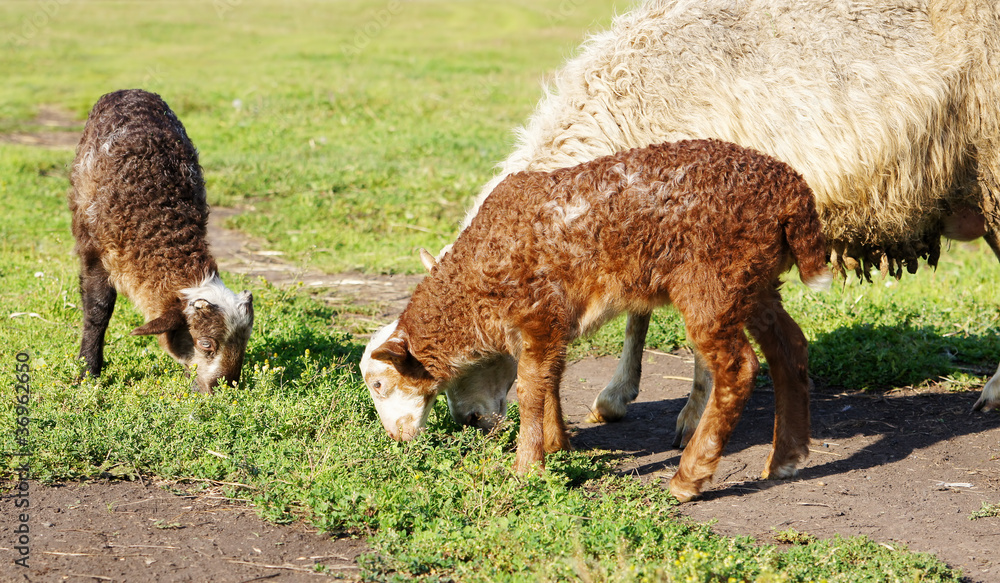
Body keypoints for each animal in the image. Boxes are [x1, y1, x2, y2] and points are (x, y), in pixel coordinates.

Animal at [69, 89, 254, 393]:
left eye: (245, 342)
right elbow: (98, 309)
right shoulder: (94, 249)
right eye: (205, 343)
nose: (224, 389)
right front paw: (88, 372)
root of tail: (131, 90)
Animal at [363, 139, 830, 501]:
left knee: (739, 368)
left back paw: (688, 478)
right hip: (754, 279)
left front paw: (527, 468)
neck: (472, 281)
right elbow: (550, 379)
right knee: (790, 348)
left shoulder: (537, 311)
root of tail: (794, 197)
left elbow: (531, 389)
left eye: (379, 384)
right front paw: (558, 445)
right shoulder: (550, 322)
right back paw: (785, 458)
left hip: (713, 280)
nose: (397, 439)